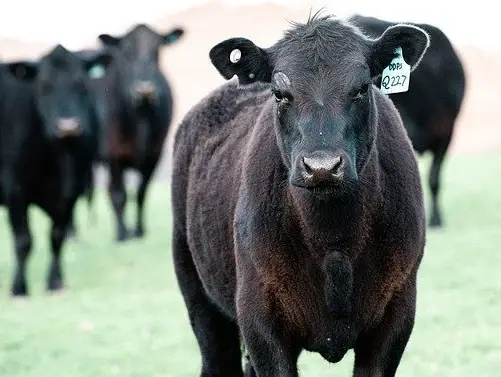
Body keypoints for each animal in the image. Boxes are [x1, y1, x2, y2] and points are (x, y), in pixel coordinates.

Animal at [0, 44, 111, 296]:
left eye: (81, 83)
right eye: (44, 85)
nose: (67, 127)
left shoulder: (70, 192)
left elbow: (57, 236)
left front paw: (55, 282)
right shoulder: (15, 191)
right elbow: (23, 241)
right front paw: (18, 288)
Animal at [93, 24, 183, 241]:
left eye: (157, 50)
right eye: (126, 52)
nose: (145, 89)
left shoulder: (154, 154)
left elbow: (142, 193)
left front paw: (139, 230)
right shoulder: (113, 155)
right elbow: (118, 194)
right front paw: (122, 234)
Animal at [170, 11, 428, 376]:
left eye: (362, 88)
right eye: (280, 93)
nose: (322, 166)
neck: (334, 243)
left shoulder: (396, 313)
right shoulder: (260, 320)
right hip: (198, 294)